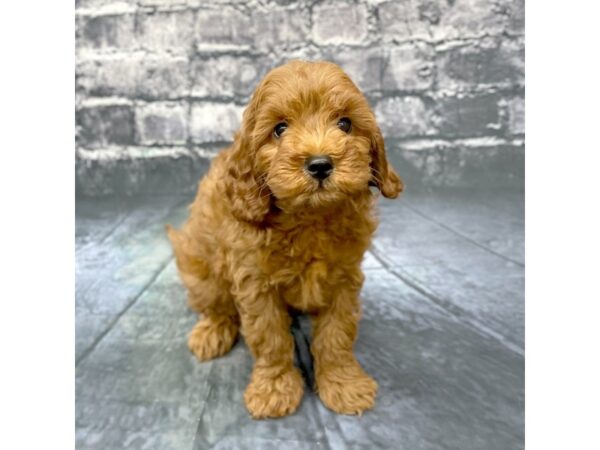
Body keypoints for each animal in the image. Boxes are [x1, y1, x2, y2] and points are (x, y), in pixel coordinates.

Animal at [168, 59, 404, 418]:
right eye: (279, 129)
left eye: (345, 123)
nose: (320, 164)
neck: (309, 219)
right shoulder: (255, 283)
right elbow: (270, 337)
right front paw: (274, 389)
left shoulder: (344, 278)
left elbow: (337, 334)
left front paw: (344, 384)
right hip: (201, 262)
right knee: (215, 303)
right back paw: (211, 331)